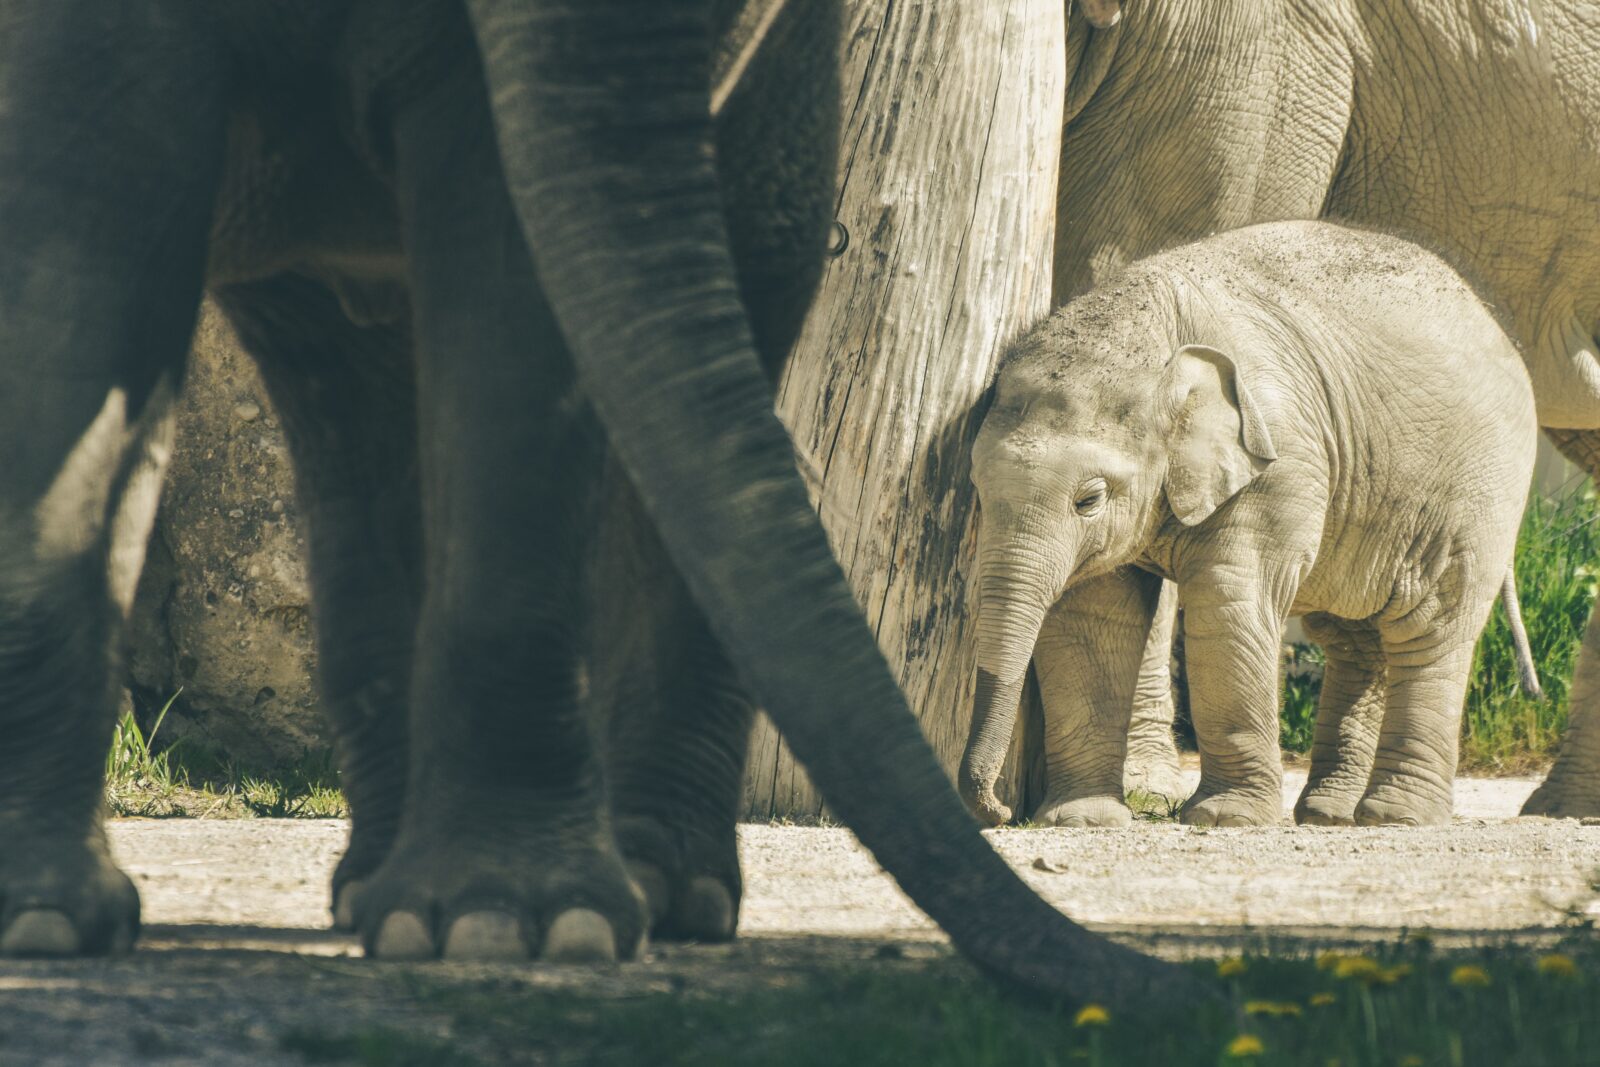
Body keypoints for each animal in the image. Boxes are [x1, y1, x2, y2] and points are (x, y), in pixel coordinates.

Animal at [0, 0, 1198, 1004]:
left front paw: (508, 929)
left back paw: (645, 895)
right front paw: (44, 923)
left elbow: (507, 279)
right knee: (355, 375)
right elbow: (77, 233)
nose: (1181, 992)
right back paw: (384, 894)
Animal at [958, 221, 1537, 829]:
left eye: (1087, 500)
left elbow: (1227, 599)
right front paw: (1082, 820)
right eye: (977, 493)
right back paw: (1330, 815)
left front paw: (1223, 818)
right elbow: (1091, 616)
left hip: (1480, 493)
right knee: (1354, 638)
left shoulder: (1281, 458)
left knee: (1429, 627)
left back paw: (1396, 817)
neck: (1145, 337)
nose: (999, 808)